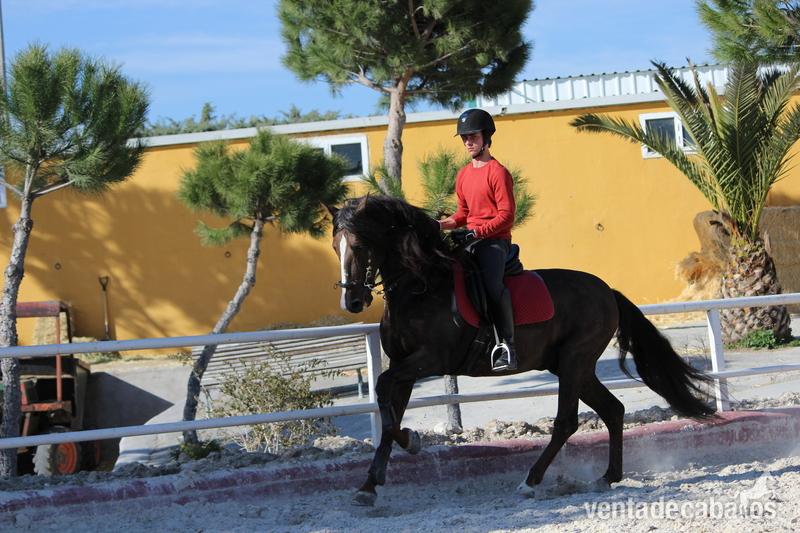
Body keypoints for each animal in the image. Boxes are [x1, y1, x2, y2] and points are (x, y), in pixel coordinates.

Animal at [324, 194, 715, 506]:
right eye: (334, 247)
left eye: (359, 246)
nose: (352, 302)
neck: (419, 286)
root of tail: (608, 290)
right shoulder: (403, 364)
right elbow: (387, 409)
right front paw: (369, 485)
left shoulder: (430, 360)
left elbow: (385, 394)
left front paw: (411, 442)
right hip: (575, 367)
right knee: (613, 410)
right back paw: (608, 477)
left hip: (574, 363)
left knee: (567, 422)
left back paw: (530, 481)